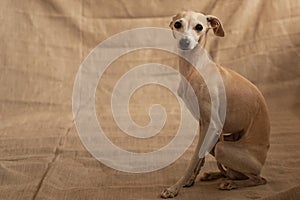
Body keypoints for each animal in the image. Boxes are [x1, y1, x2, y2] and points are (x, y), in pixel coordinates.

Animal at [161, 10, 270, 198]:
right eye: (177, 24)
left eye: (199, 27)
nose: (185, 42)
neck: (194, 69)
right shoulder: (203, 124)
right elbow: (200, 156)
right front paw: (189, 181)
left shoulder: (211, 125)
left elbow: (194, 158)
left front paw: (175, 188)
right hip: (219, 141)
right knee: (232, 172)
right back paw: (216, 175)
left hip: (222, 148)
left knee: (258, 179)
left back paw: (231, 184)